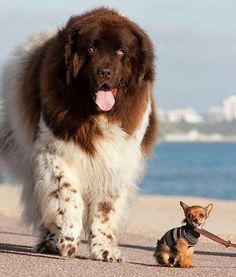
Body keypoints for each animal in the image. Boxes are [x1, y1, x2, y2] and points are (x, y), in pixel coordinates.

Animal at [0, 7, 158, 260]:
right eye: (91, 49)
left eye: (121, 51)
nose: (105, 72)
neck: (95, 116)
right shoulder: (51, 152)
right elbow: (67, 193)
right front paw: (68, 235)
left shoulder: (115, 158)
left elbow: (105, 207)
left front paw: (104, 247)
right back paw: (51, 240)